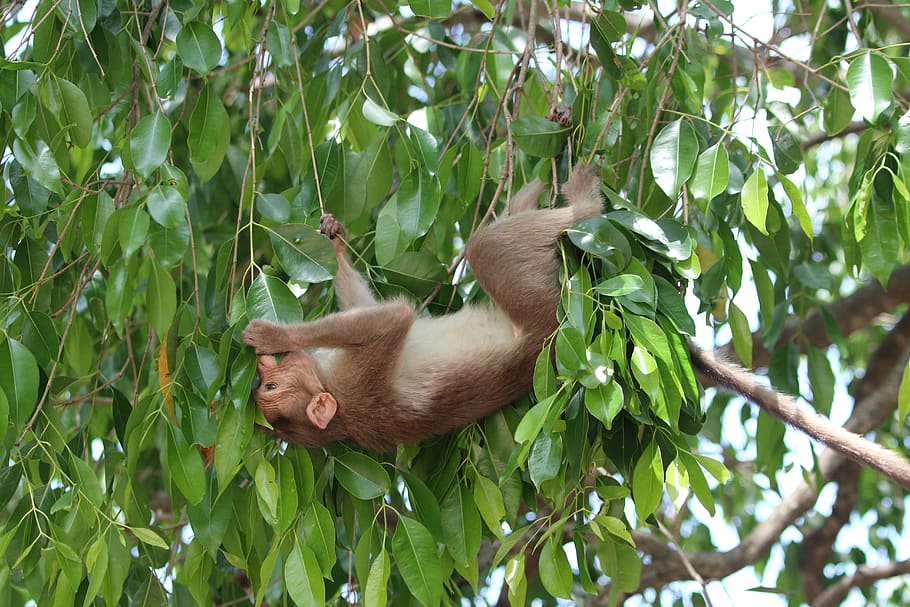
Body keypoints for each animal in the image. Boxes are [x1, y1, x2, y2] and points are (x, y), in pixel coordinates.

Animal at [243, 164, 910, 489]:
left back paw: (536, 187)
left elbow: (374, 307)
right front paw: (276, 335)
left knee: (488, 240)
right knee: (490, 248)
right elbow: (394, 320)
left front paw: (332, 245)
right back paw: (585, 203)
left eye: (268, 389)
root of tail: (549, 343)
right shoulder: (357, 384)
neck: (337, 412)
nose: (260, 377)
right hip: (547, 304)